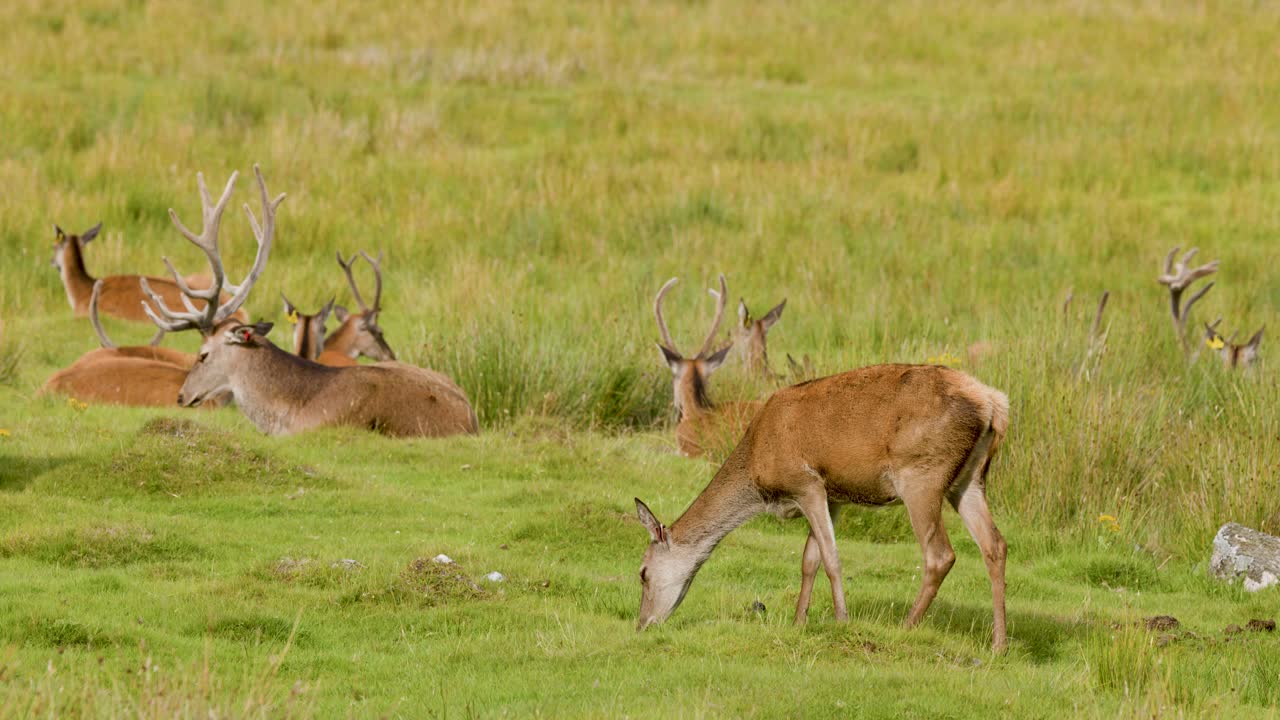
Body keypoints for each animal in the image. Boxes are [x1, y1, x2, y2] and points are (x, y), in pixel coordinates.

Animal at [634, 363, 1011, 651]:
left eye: (642, 572)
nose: (642, 624)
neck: (756, 467)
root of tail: (994, 404)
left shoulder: (806, 482)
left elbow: (831, 557)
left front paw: (841, 620)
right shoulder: (833, 495)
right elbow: (809, 559)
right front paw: (798, 622)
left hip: (922, 475)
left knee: (940, 554)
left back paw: (906, 627)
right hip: (971, 478)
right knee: (995, 545)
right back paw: (999, 644)